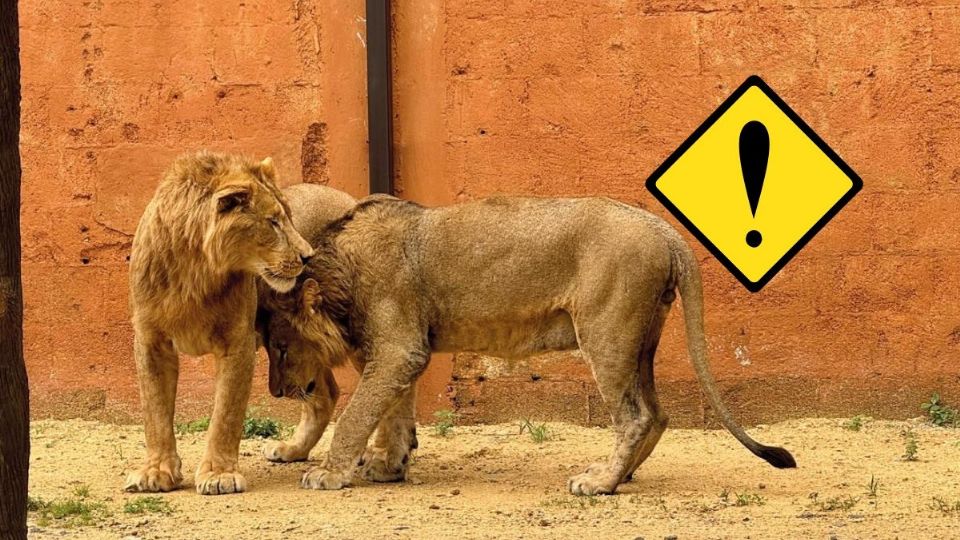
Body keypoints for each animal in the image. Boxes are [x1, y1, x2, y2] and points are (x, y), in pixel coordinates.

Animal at [125, 151, 314, 495]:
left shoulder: (237, 341)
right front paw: (156, 471)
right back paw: (295, 451)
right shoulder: (150, 340)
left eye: (289, 218)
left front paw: (219, 474)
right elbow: (154, 410)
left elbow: (227, 412)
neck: (195, 270)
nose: (309, 256)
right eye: (273, 222)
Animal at [260, 195, 797, 496]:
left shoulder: (398, 348)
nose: (276, 392)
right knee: (658, 413)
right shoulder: (401, 350)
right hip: (640, 340)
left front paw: (329, 474)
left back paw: (600, 483)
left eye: (281, 348)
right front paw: (389, 466)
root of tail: (663, 228)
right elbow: (393, 413)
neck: (338, 270)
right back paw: (618, 473)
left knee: (636, 416)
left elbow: (357, 415)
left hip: (606, 332)